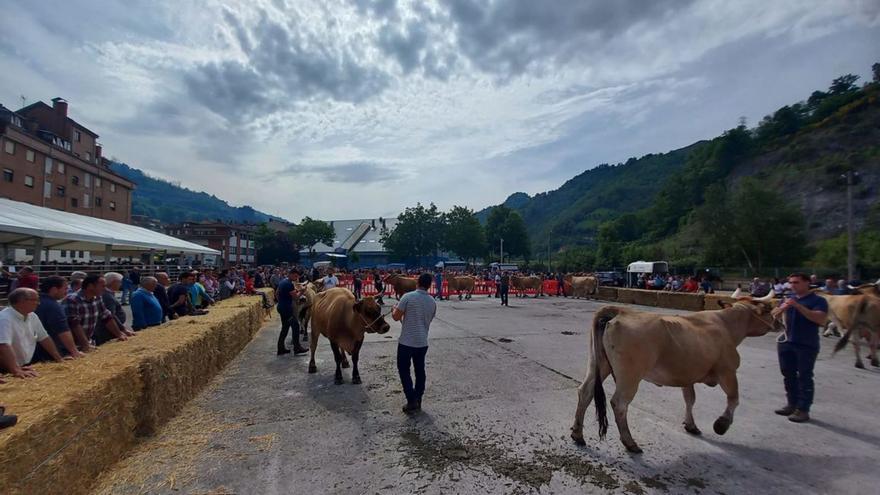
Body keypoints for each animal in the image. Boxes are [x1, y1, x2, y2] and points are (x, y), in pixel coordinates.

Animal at [572, 288, 784, 456]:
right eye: (767, 309)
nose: (780, 323)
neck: (726, 325)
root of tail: (620, 311)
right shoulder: (727, 371)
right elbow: (734, 398)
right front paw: (721, 425)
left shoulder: (687, 373)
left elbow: (690, 399)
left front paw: (691, 425)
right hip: (630, 375)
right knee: (620, 403)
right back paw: (630, 443)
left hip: (599, 363)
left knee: (586, 391)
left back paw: (578, 434)